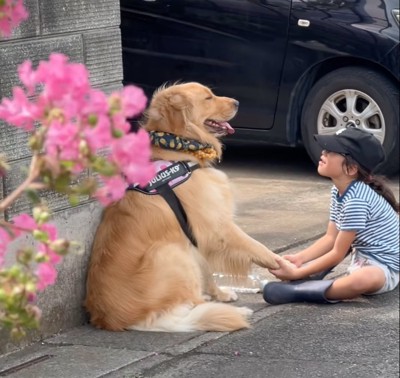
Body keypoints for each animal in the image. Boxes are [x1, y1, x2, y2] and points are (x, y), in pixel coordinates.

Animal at [84, 82, 278, 330]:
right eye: (208, 98)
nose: (237, 103)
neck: (180, 151)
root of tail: (116, 319)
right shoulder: (217, 227)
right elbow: (258, 247)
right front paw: (285, 266)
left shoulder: (198, 235)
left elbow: (208, 270)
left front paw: (220, 293)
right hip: (171, 252)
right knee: (193, 302)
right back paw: (234, 311)